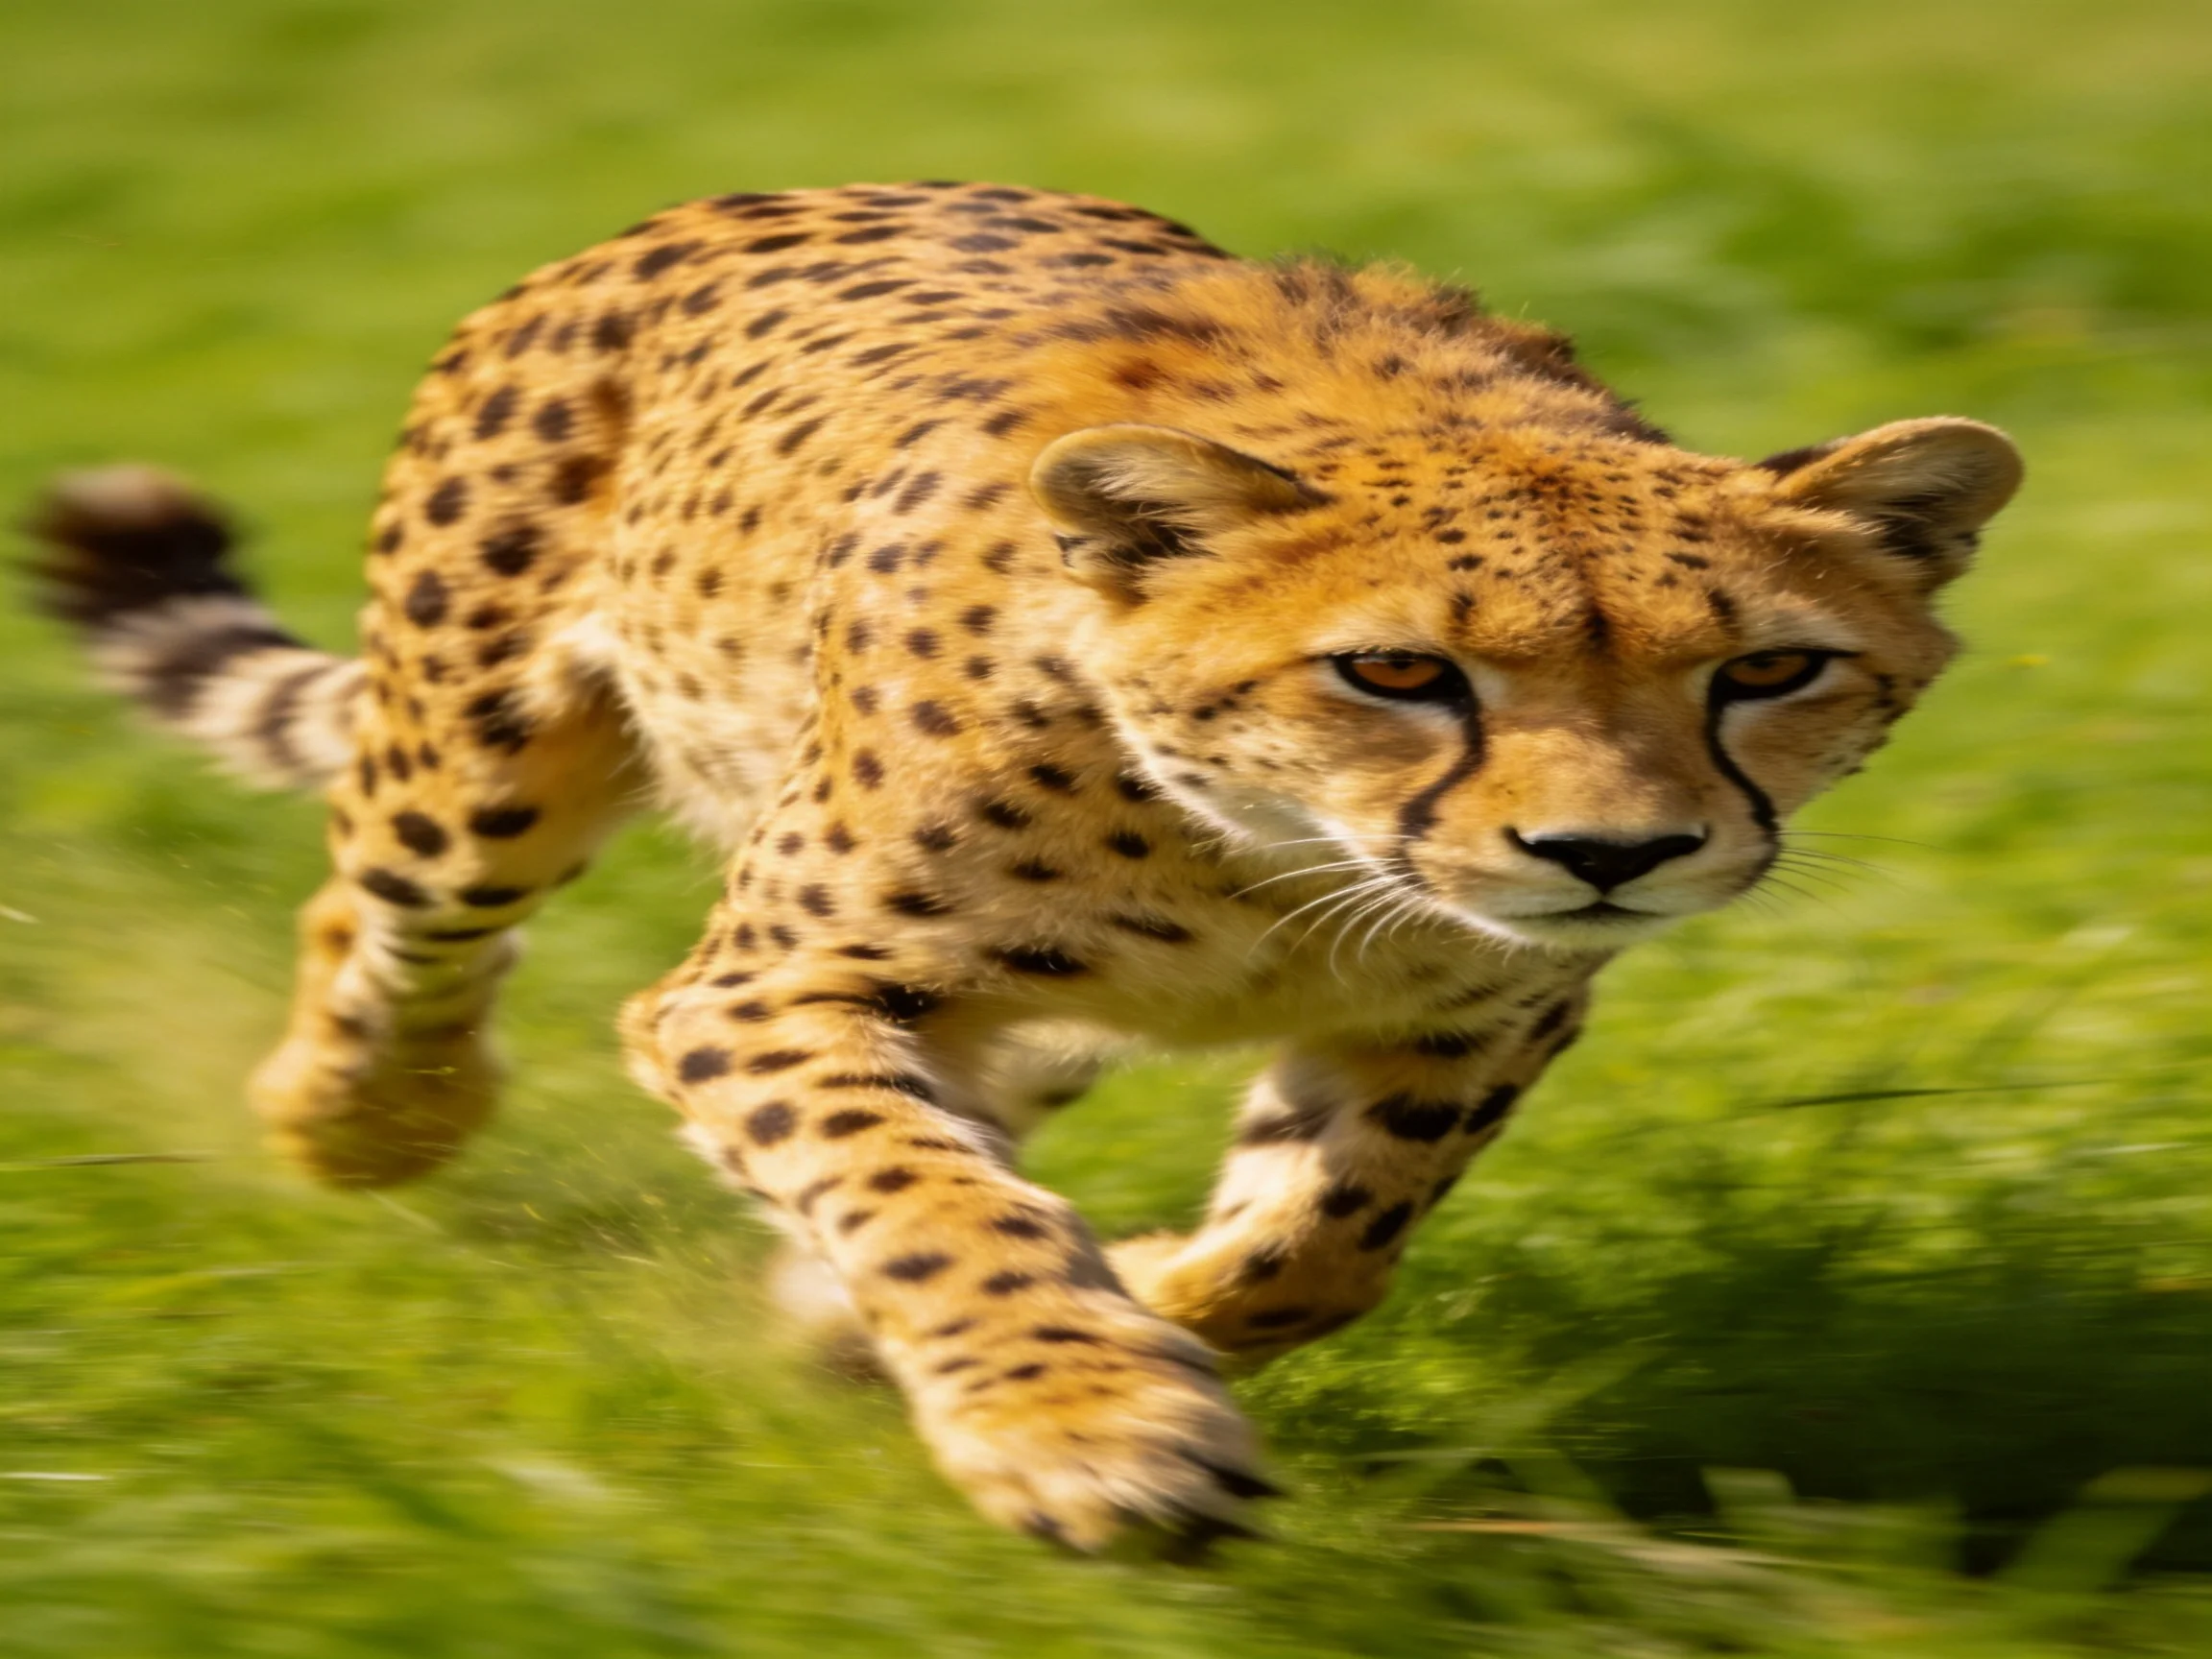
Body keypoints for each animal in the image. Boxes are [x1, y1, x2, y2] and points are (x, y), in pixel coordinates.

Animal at [26, 180, 2022, 1553]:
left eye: (1763, 670)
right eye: (1396, 671)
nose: (1611, 852)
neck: (1263, 868)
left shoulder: (1475, 1013)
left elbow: (1317, 1239)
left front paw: (1126, 1303)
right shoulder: (773, 985)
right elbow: (923, 1194)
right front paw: (1078, 1420)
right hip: (476, 762)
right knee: (386, 910)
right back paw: (354, 1117)